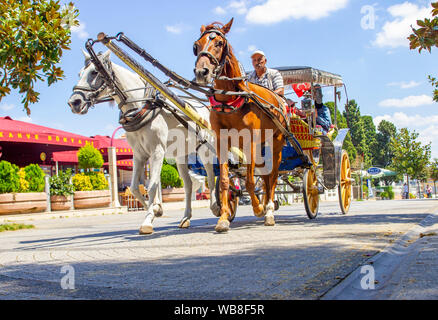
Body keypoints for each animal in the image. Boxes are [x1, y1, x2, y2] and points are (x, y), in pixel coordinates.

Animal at [68, 50, 219, 235]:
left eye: (94, 72)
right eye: (79, 74)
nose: (74, 102)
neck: (141, 106)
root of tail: (203, 108)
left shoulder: (157, 151)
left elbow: (152, 186)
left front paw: (148, 220)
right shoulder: (139, 154)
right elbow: (134, 188)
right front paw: (156, 210)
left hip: (205, 149)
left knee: (211, 177)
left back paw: (215, 207)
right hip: (181, 155)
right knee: (189, 185)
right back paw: (186, 217)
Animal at [193, 18, 290, 232]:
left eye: (220, 43)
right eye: (196, 46)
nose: (202, 72)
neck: (230, 99)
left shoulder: (250, 142)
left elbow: (250, 180)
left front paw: (259, 208)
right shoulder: (221, 142)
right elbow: (224, 181)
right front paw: (223, 218)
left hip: (276, 144)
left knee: (273, 176)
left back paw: (269, 210)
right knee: (267, 176)